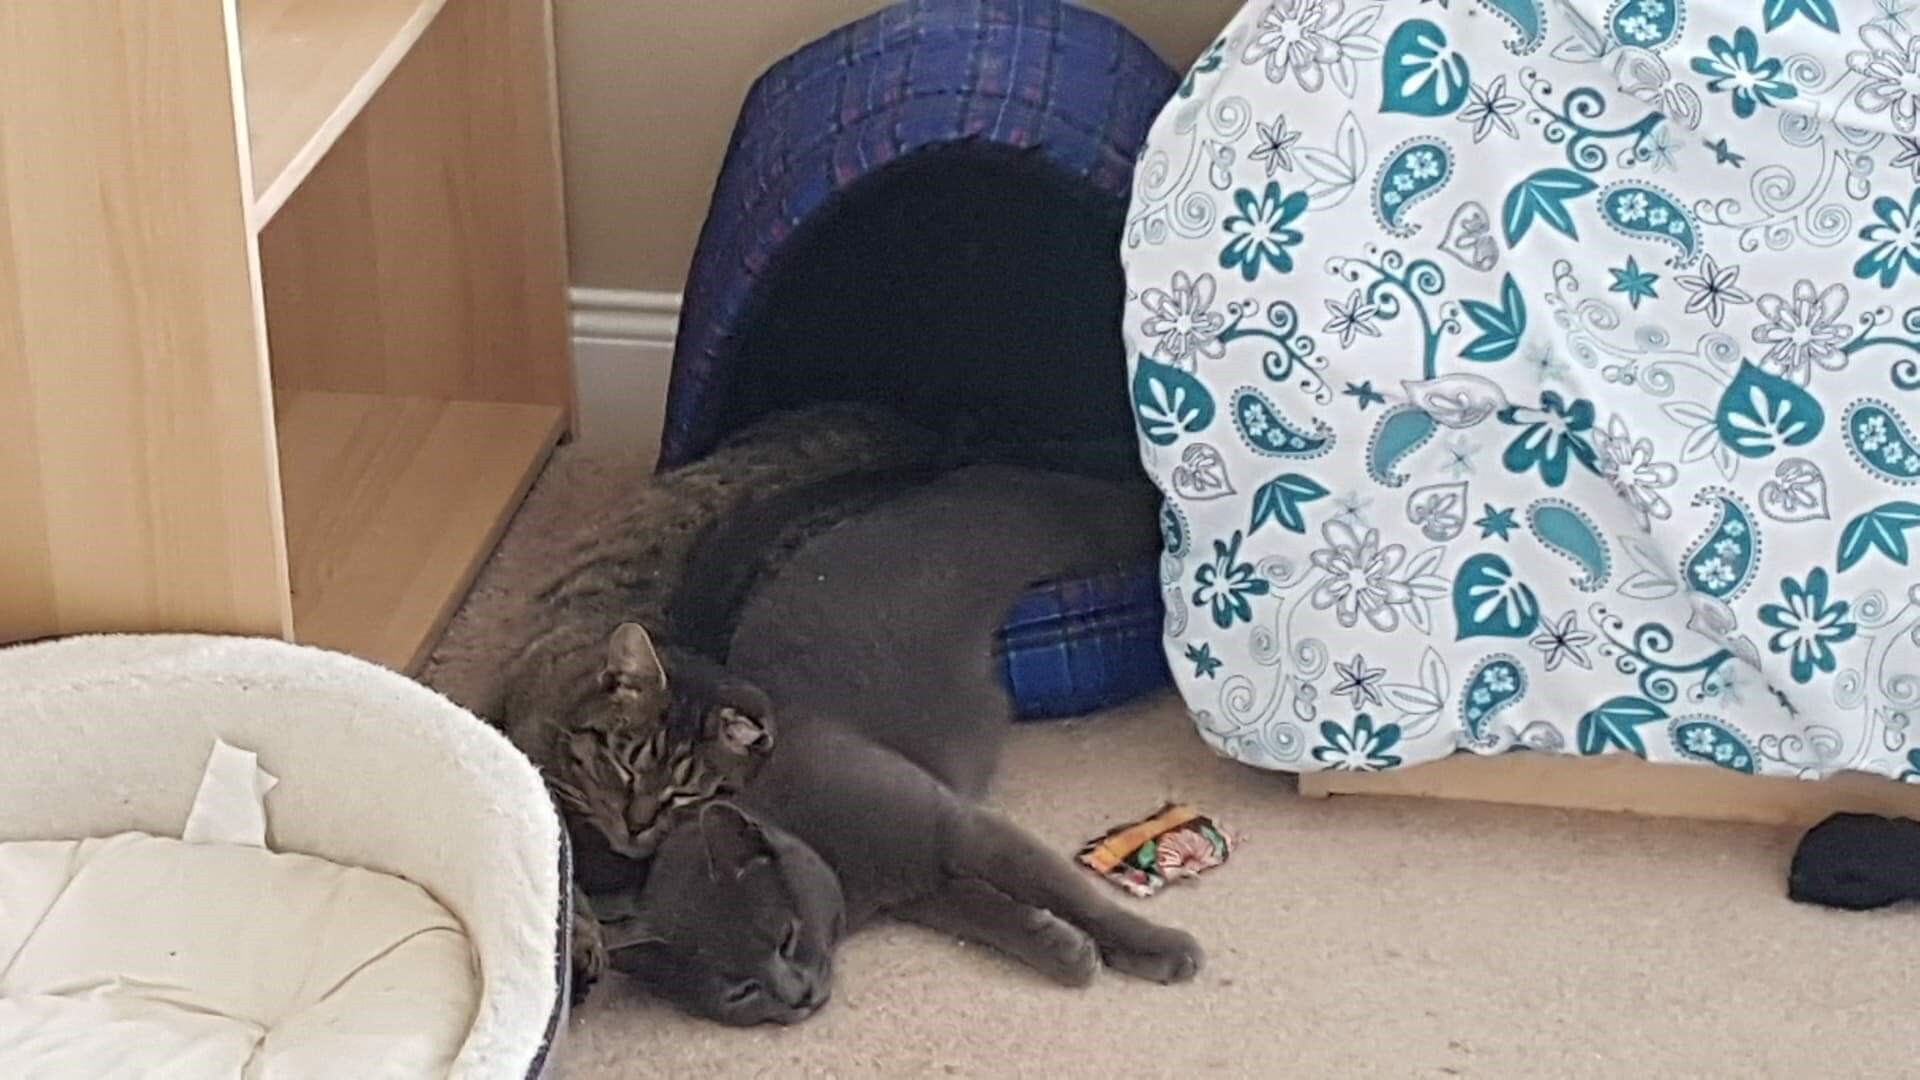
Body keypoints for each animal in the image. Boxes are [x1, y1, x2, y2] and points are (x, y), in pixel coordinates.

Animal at [596, 464, 1204, 1025]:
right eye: (739, 991)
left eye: (785, 937)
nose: (797, 998)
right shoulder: (924, 887)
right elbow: (987, 913)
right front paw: (1063, 949)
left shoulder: (961, 829)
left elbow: (1069, 891)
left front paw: (1162, 947)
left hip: (1084, 525)